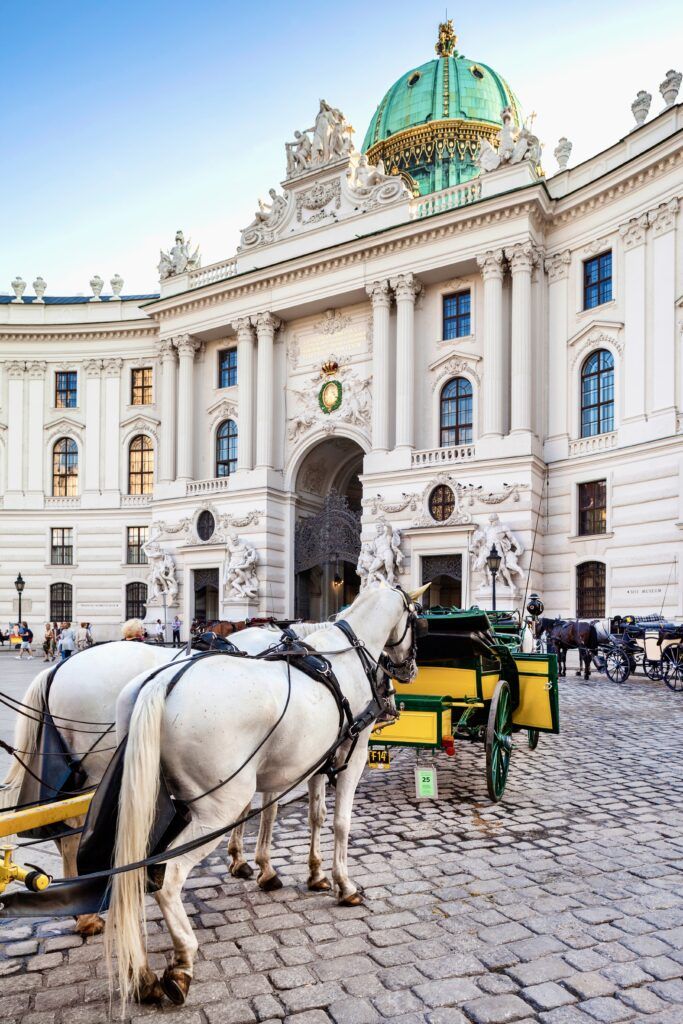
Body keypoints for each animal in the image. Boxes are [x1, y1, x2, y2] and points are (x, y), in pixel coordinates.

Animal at [1, 614, 327, 937]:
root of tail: (56, 669)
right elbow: (267, 811)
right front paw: (263, 868)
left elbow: (249, 809)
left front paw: (239, 860)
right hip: (94, 769)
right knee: (74, 833)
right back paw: (88, 916)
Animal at [107, 585, 421, 1007]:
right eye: (418, 619)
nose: (408, 672)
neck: (346, 653)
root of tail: (163, 684)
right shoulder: (350, 756)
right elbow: (340, 823)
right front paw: (344, 885)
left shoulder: (314, 759)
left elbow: (313, 816)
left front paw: (313, 873)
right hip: (215, 810)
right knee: (167, 875)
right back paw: (181, 963)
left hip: (145, 804)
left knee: (132, 875)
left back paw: (141, 975)